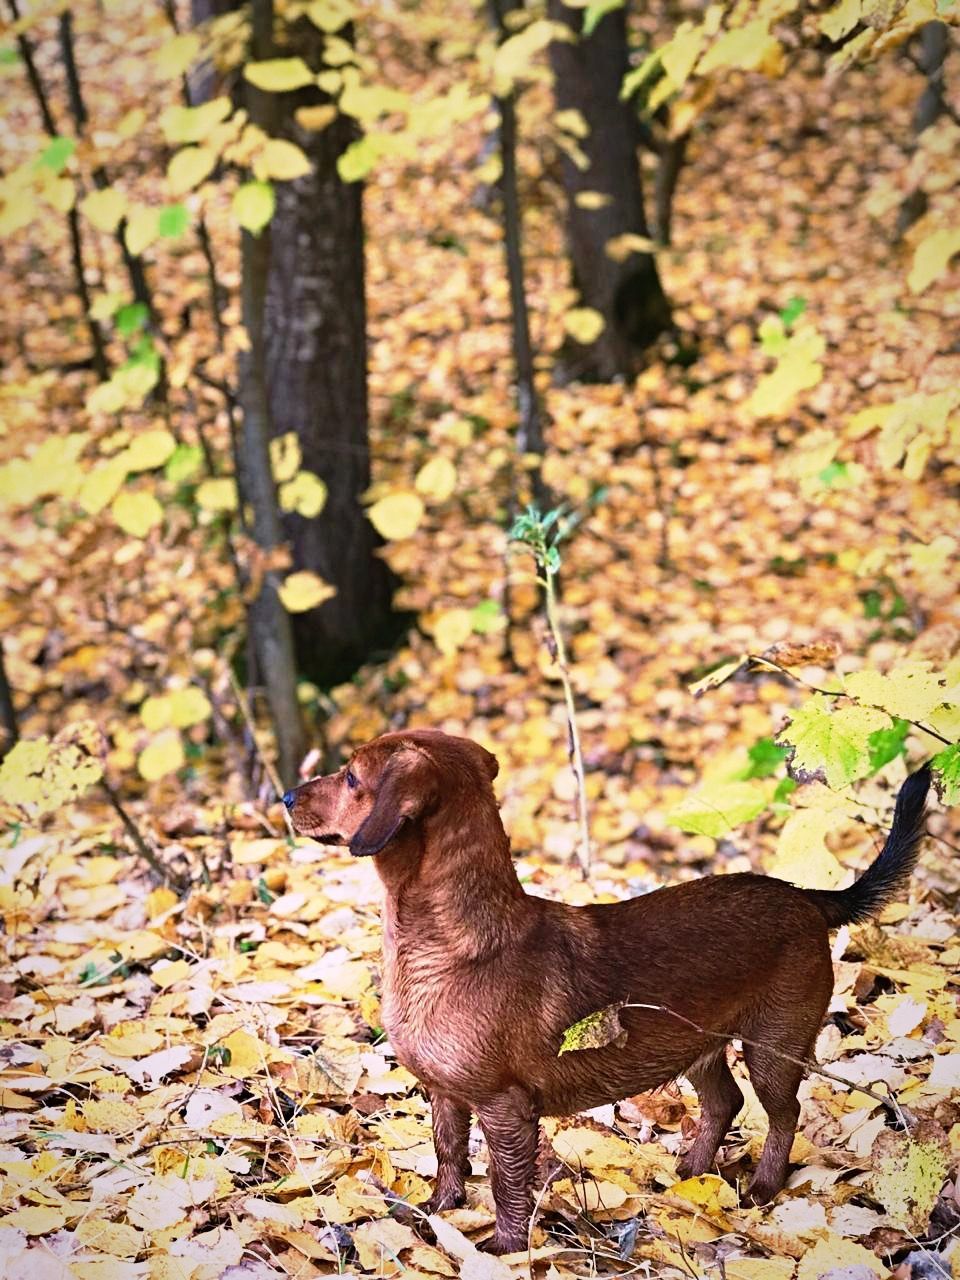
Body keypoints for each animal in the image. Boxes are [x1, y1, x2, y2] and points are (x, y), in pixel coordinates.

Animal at [281, 732, 926, 1249]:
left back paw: (763, 1186)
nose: (285, 798)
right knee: (724, 1103)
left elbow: (506, 1184)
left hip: (774, 1046)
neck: (448, 948)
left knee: (782, 1112)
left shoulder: (505, 1108)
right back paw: (691, 1172)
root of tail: (808, 897)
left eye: (351, 777)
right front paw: (438, 1213)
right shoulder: (445, 1095)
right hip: (697, 1046)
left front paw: (505, 1248)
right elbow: (449, 1156)